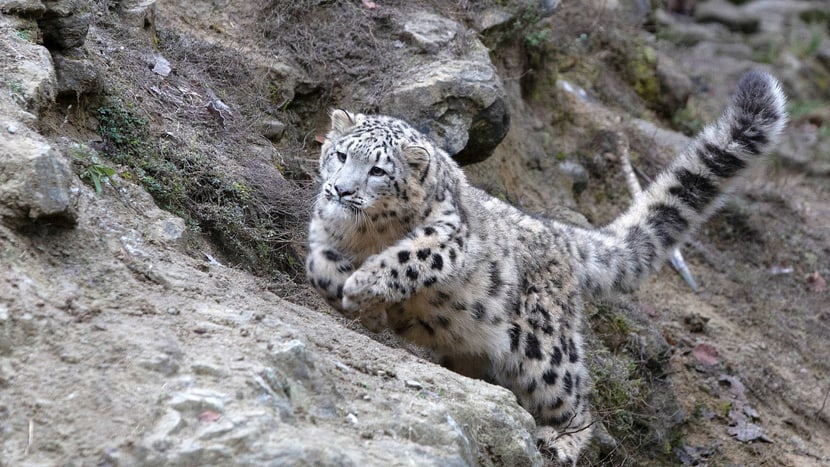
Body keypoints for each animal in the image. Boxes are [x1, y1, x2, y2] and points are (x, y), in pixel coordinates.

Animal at [308, 71, 788, 466]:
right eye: (340, 154)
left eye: (377, 170)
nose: (341, 189)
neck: (368, 233)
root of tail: (563, 235)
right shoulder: (325, 228)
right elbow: (318, 263)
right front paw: (346, 290)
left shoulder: (447, 235)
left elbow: (408, 257)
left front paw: (364, 283)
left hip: (545, 351)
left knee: (577, 398)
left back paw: (559, 442)